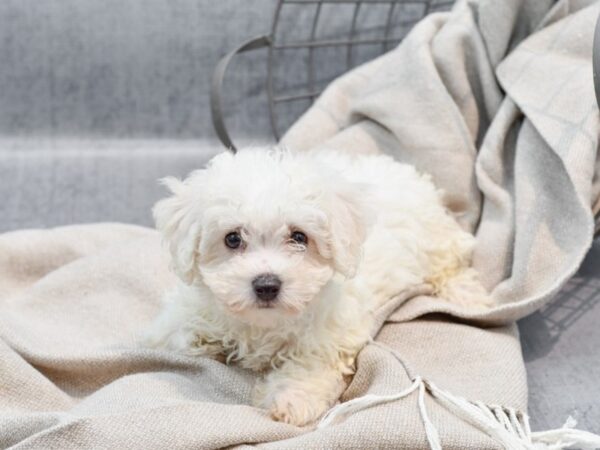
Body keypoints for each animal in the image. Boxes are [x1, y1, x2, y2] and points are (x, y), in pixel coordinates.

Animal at [143, 147, 490, 426]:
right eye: (232, 238)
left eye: (299, 237)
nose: (266, 285)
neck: (263, 325)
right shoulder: (185, 317)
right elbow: (180, 337)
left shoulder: (331, 334)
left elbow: (310, 364)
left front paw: (291, 399)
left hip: (434, 242)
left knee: (452, 264)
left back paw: (469, 297)